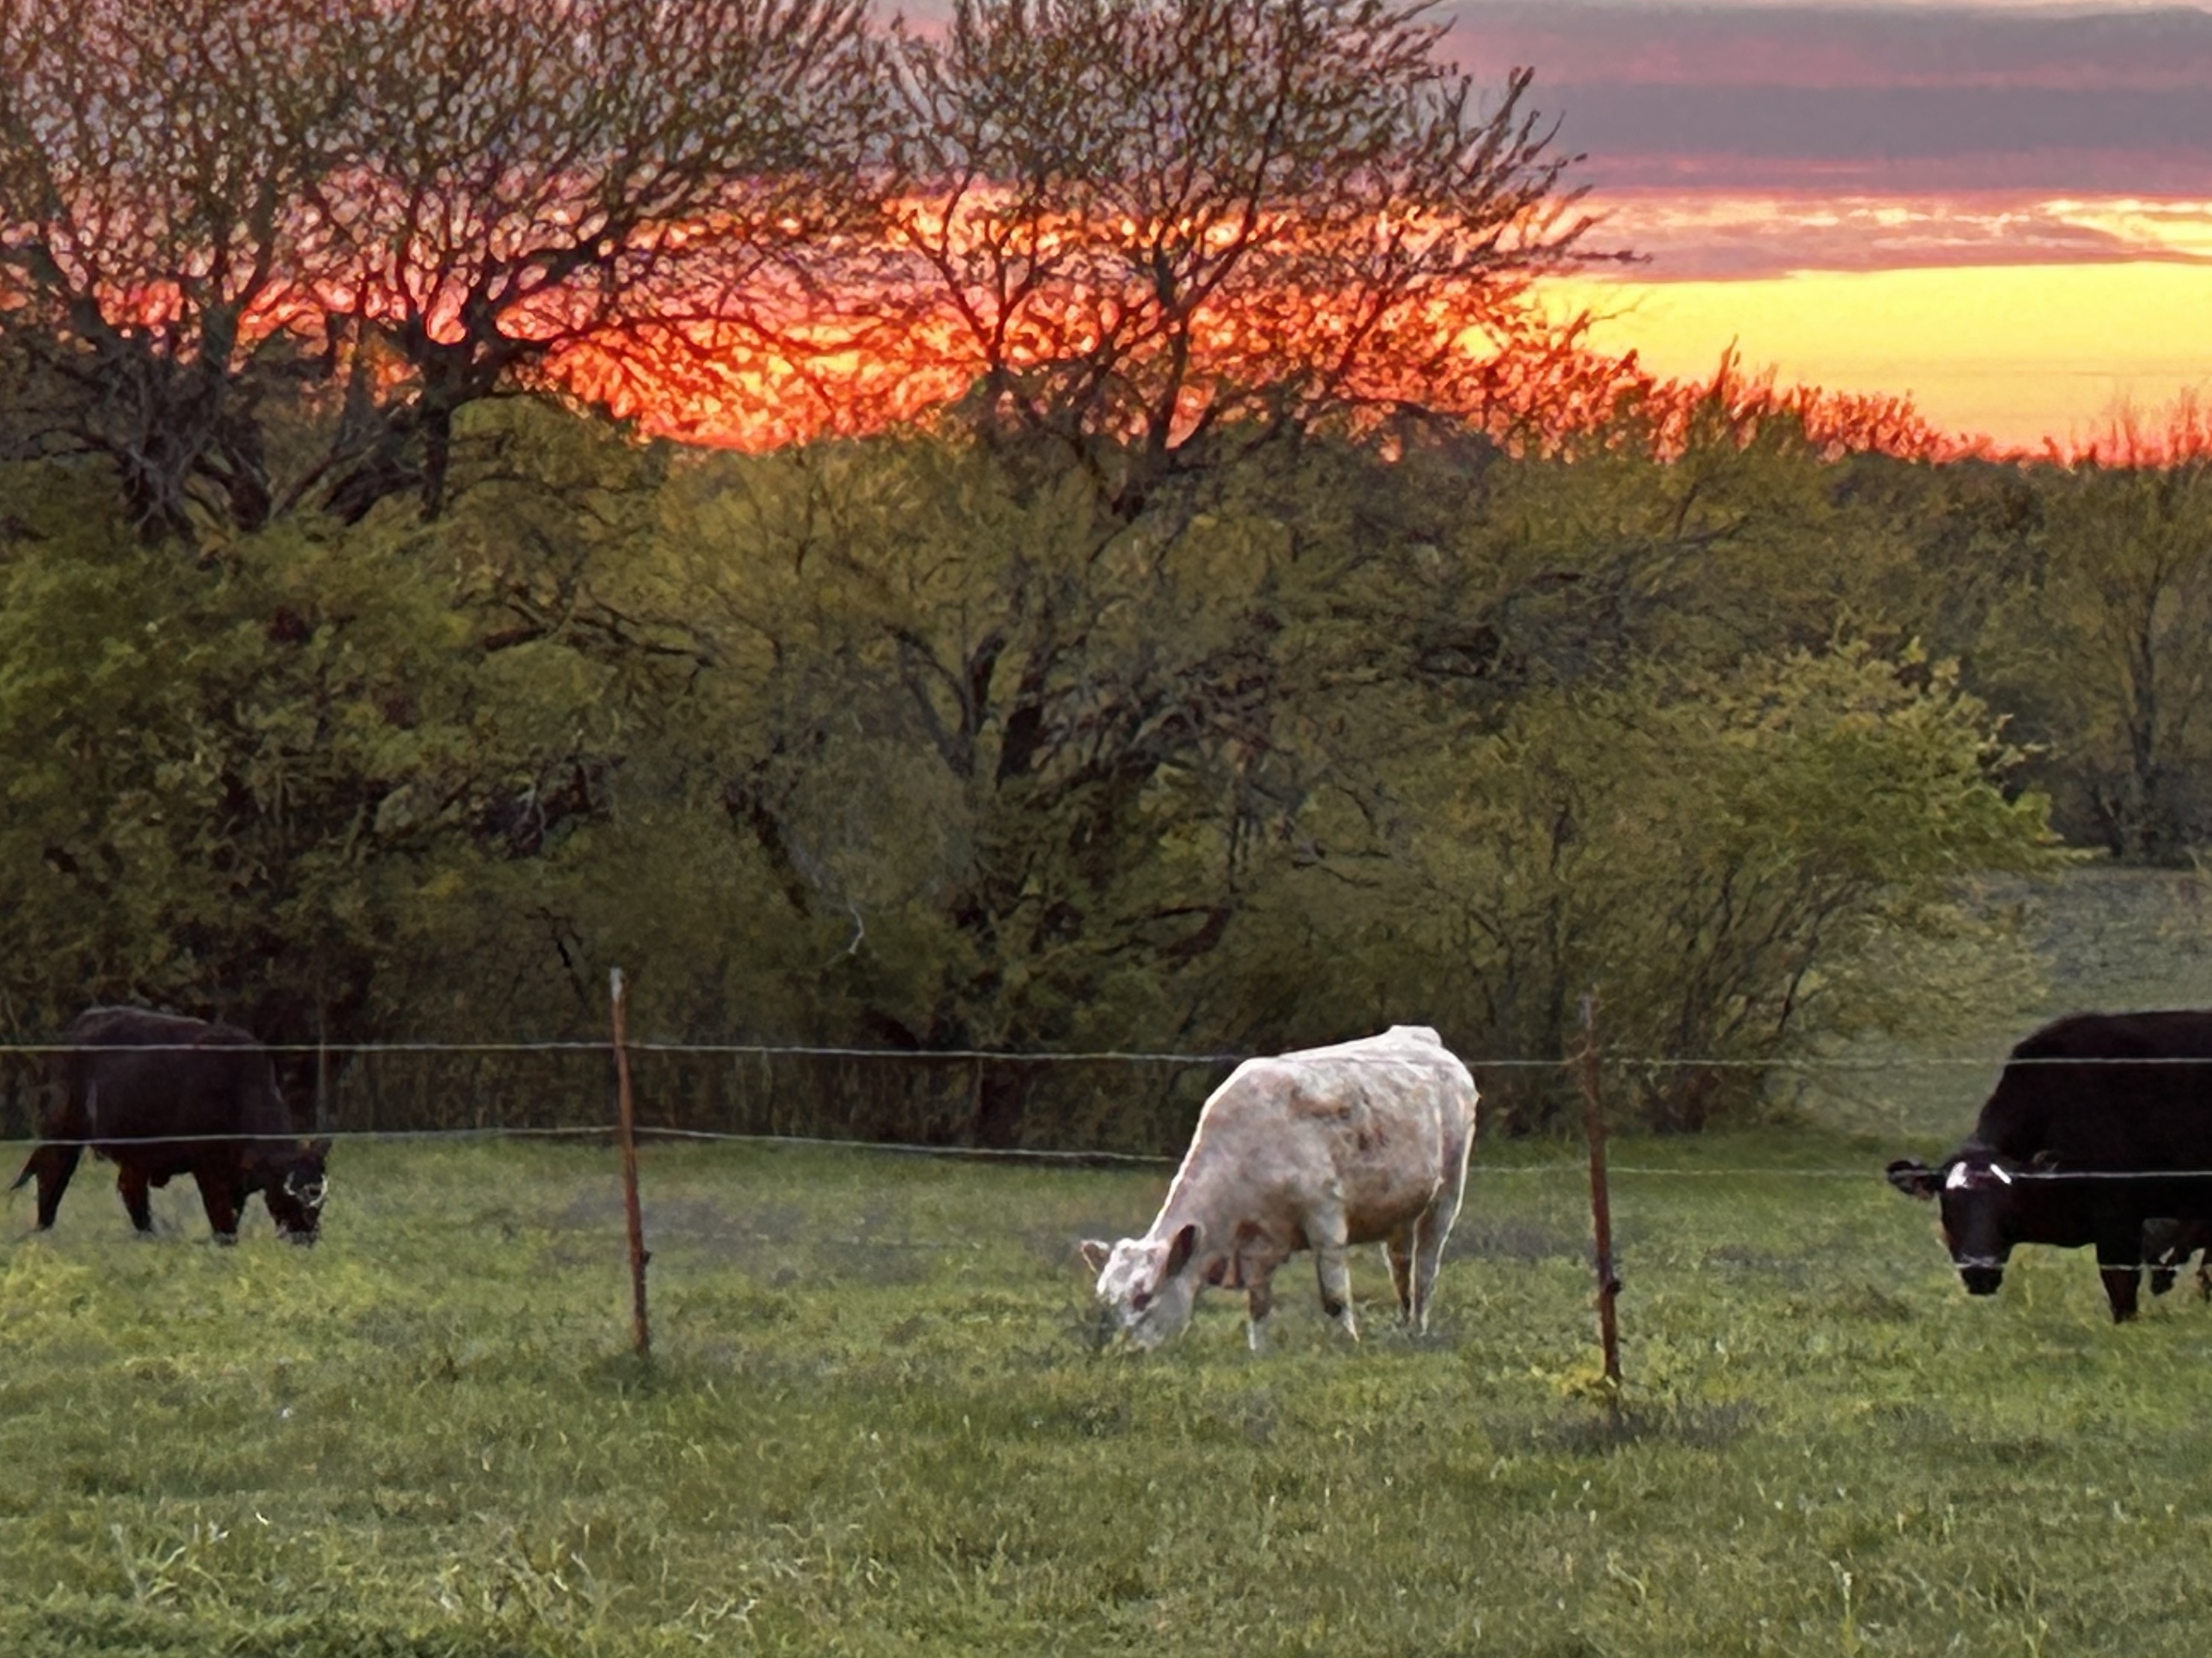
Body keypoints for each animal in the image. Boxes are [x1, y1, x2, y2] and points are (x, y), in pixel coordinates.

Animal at [10, 1006, 329, 1245]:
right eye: (296, 1197)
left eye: (322, 1199)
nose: (309, 1237)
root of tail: (82, 1021)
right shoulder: (210, 1169)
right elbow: (221, 1216)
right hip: (64, 1130)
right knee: (52, 1172)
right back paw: (43, 1228)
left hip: (134, 1154)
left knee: (131, 1189)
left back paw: (149, 1235)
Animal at [1079, 1025, 1478, 1351]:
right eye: (1105, 1300)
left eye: (1143, 1297)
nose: (1119, 1352)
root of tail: (1421, 1037)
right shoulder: (1259, 1246)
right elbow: (1259, 1306)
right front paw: (1260, 1353)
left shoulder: (1326, 1219)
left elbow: (1335, 1297)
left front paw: (1347, 1344)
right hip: (1400, 1210)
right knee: (1401, 1266)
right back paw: (1406, 1325)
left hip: (1446, 1195)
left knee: (1426, 1268)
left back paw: (1419, 1329)